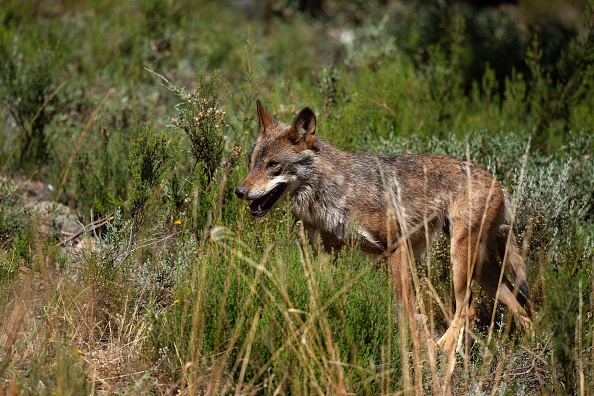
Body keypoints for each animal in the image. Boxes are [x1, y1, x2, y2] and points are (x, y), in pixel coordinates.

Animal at [235, 100, 532, 352]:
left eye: (274, 165)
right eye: (251, 163)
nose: (239, 192)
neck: (335, 189)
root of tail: (498, 182)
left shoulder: (397, 249)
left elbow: (407, 310)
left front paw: (414, 350)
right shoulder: (328, 254)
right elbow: (322, 297)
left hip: (460, 261)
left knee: (468, 309)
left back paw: (442, 350)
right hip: (482, 271)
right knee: (520, 305)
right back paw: (533, 344)